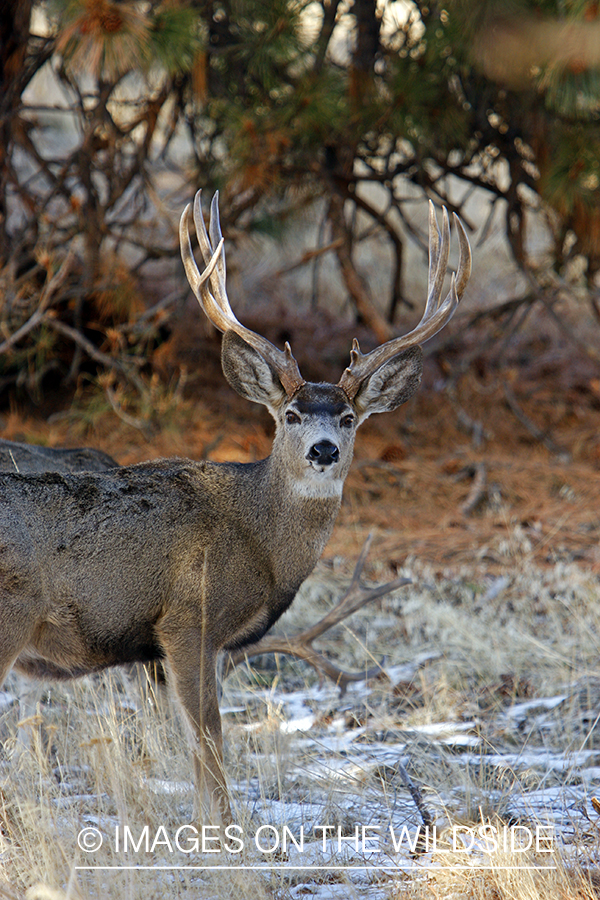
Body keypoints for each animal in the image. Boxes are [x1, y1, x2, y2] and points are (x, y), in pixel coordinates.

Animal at [0, 192, 471, 823]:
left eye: (349, 418)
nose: (324, 449)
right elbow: (210, 745)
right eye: (290, 414)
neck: (259, 540)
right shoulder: (186, 621)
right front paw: (223, 831)